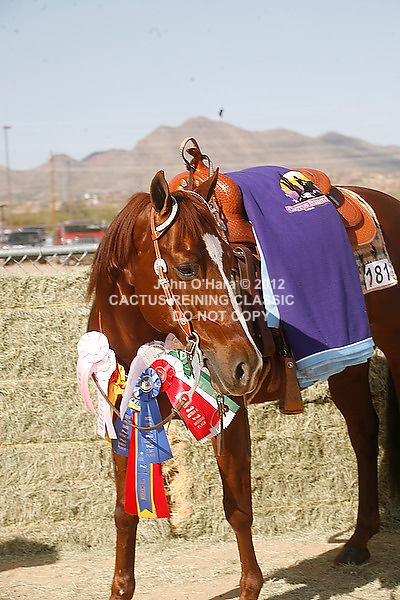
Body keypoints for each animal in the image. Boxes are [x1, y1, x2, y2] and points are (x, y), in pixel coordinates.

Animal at [86, 164, 400, 600]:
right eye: (186, 267)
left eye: (233, 267)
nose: (246, 365)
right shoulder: (125, 419)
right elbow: (124, 513)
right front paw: (120, 588)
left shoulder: (229, 419)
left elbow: (237, 509)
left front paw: (251, 587)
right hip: (349, 365)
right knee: (364, 432)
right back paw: (358, 541)